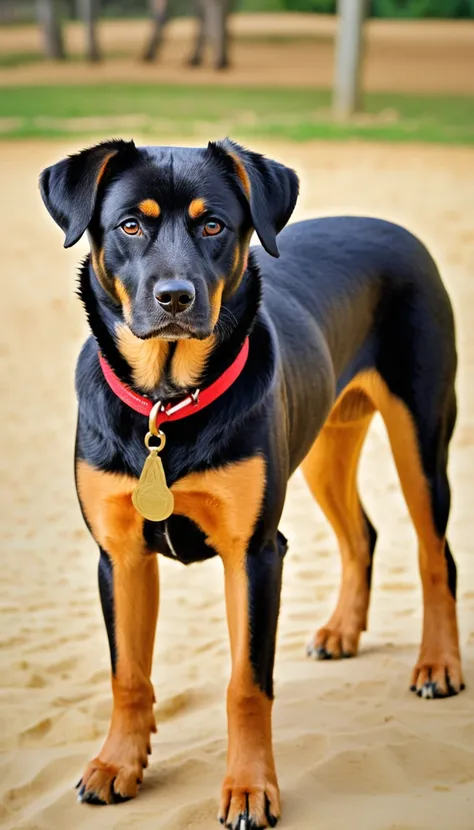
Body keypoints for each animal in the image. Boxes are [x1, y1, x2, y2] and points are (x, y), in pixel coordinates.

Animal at [39, 140, 462, 828]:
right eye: (129, 225)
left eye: (213, 226)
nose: (175, 297)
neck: (166, 407)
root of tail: (396, 230)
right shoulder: (119, 554)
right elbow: (128, 674)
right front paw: (117, 764)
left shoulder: (256, 553)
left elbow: (247, 685)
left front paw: (248, 788)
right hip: (324, 444)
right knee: (361, 536)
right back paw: (342, 631)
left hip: (421, 435)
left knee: (435, 555)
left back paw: (439, 664)